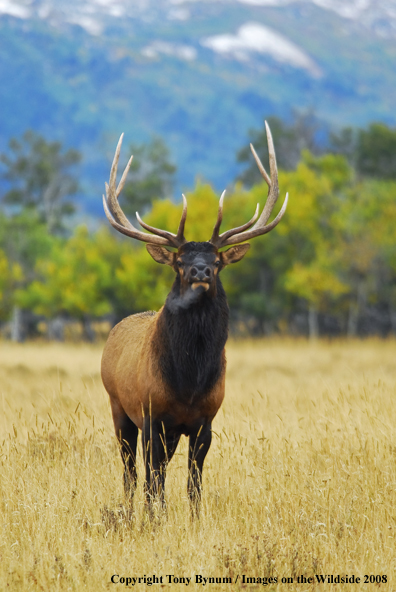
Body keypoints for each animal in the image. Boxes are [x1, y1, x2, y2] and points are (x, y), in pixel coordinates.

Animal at [101, 121, 288, 512]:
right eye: (179, 261)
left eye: (217, 261)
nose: (200, 271)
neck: (188, 382)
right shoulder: (153, 416)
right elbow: (153, 482)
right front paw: (153, 518)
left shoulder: (205, 421)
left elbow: (193, 485)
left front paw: (194, 519)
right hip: (118, 407)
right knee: (131, 472)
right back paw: (129, 509)